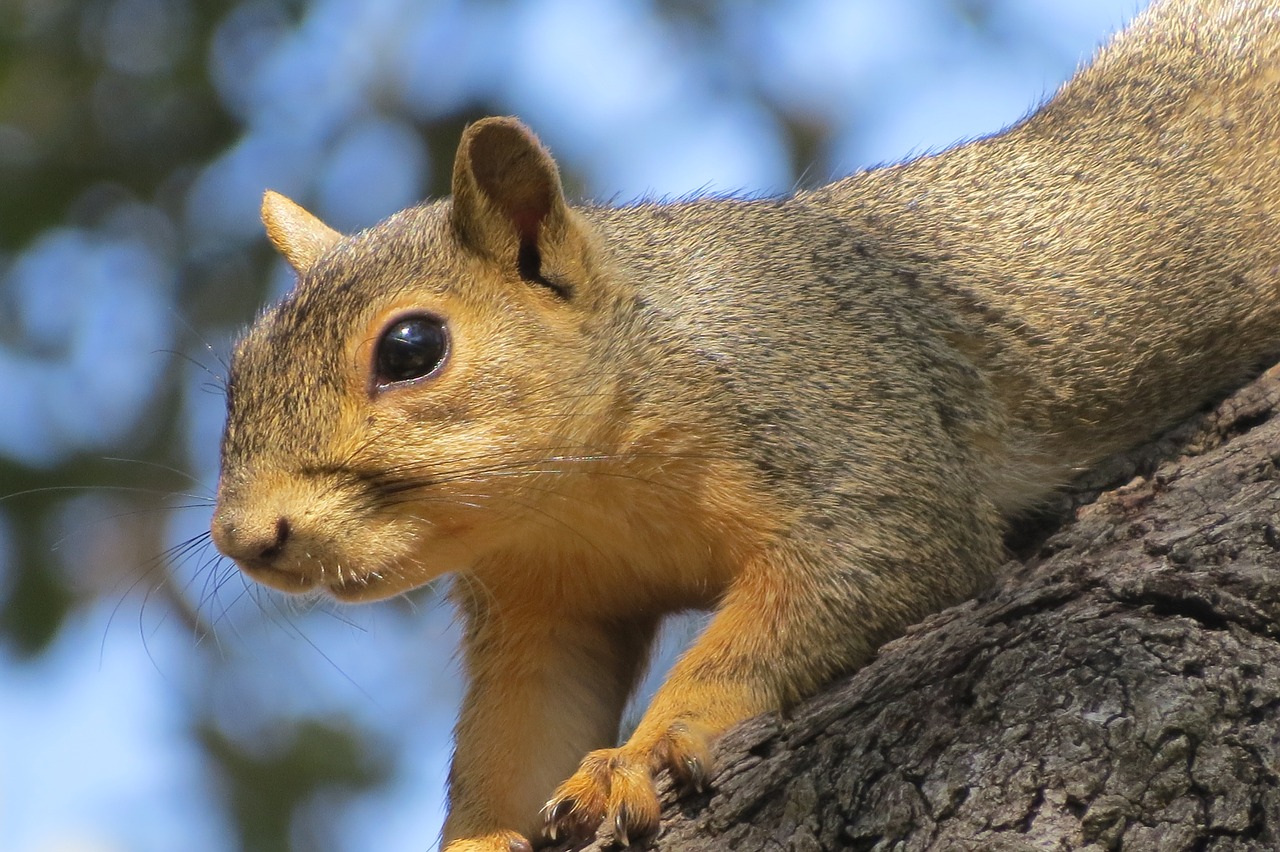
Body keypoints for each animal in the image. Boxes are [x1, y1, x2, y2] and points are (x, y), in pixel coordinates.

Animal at [207, 0, 1280, 844]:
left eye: (411, 348)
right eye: (240, 361)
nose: (244, 539)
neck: (580, 488)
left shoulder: (846, 429)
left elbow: (821, 593)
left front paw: (641, 753)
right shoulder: (546, 602)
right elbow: (515, 732)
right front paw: (483, 836)